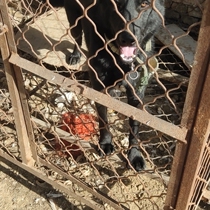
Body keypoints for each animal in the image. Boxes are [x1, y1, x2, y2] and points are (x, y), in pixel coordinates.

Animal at [45, 0, 165, 171]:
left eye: (144, 4)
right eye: (116, 3)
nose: (128, 39)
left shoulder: (137, 93)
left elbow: (134, 127)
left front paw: (134, 154)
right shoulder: (99, 89)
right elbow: (103, 119)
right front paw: (105, 142)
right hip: (74, 16)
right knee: (77, 36)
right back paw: (75, 55)